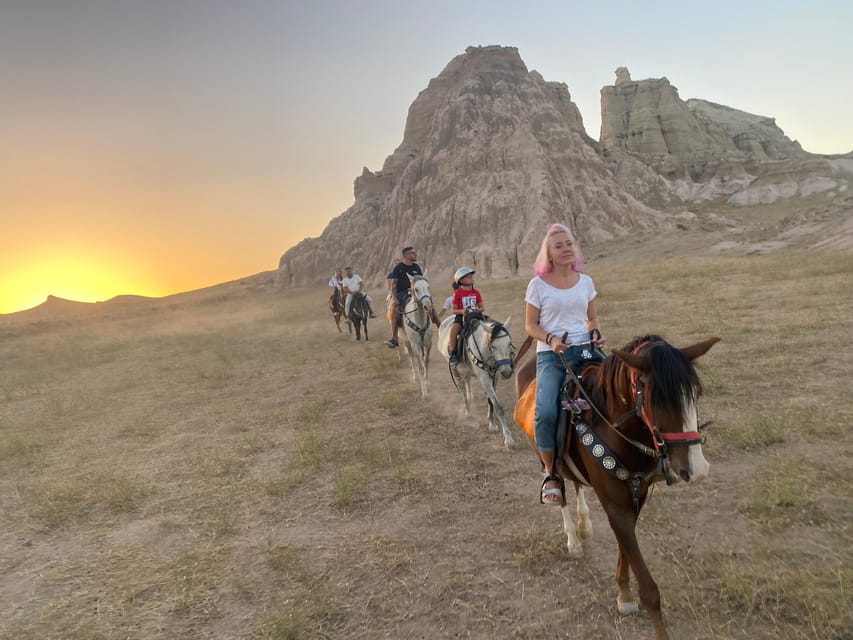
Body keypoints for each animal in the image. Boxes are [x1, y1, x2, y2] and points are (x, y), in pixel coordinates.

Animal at [440, 312, 512, 448]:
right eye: (493, 346)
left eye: (509, 343)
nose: (507, 372)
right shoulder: (484, 379)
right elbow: (498, 407)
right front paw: (509, 439)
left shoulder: (495, 377)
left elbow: (491, 402)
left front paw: (492, 424)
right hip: (455, 370)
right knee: (462, 389)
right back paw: (467, 411)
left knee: (467, 380)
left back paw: (470, 396)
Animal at [512, 336, 720, 640]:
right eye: (657, 399)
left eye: (696, 393)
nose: (698, 470)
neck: (614, 428)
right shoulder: (615, 506)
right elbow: (649, 590)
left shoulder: (636, 495)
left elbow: (625, 549)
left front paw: (624, 595)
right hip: (544, 455)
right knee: (559, 487)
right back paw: (573, 538)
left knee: (576, 483)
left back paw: (584, 524)